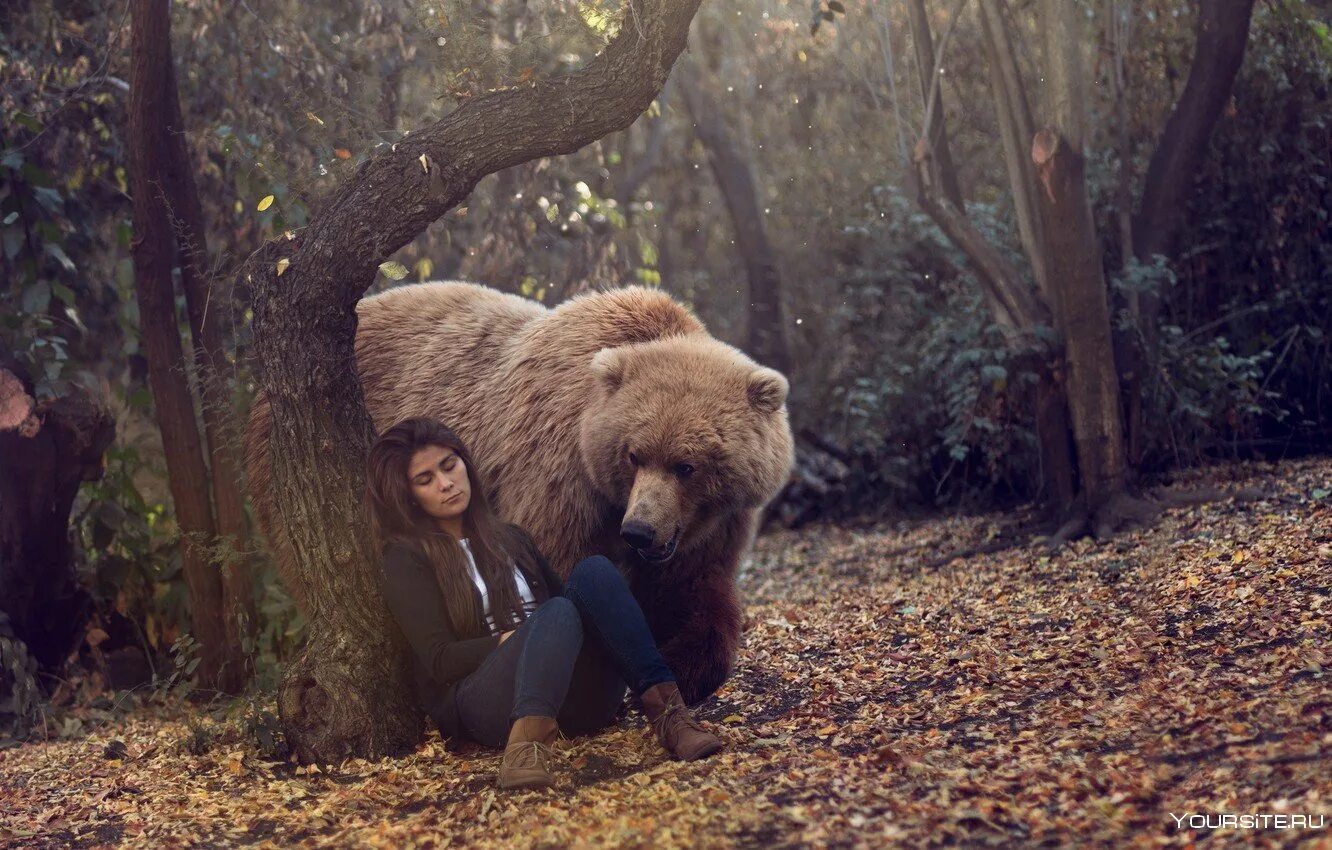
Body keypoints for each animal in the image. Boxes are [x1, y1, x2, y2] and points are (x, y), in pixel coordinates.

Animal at [247, 282, 788, 703]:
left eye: (687, 465)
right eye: (634, 454)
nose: (640, 531)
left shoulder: (709, 527)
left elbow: (696, 591)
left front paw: (683, 664)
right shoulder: (558, 475)